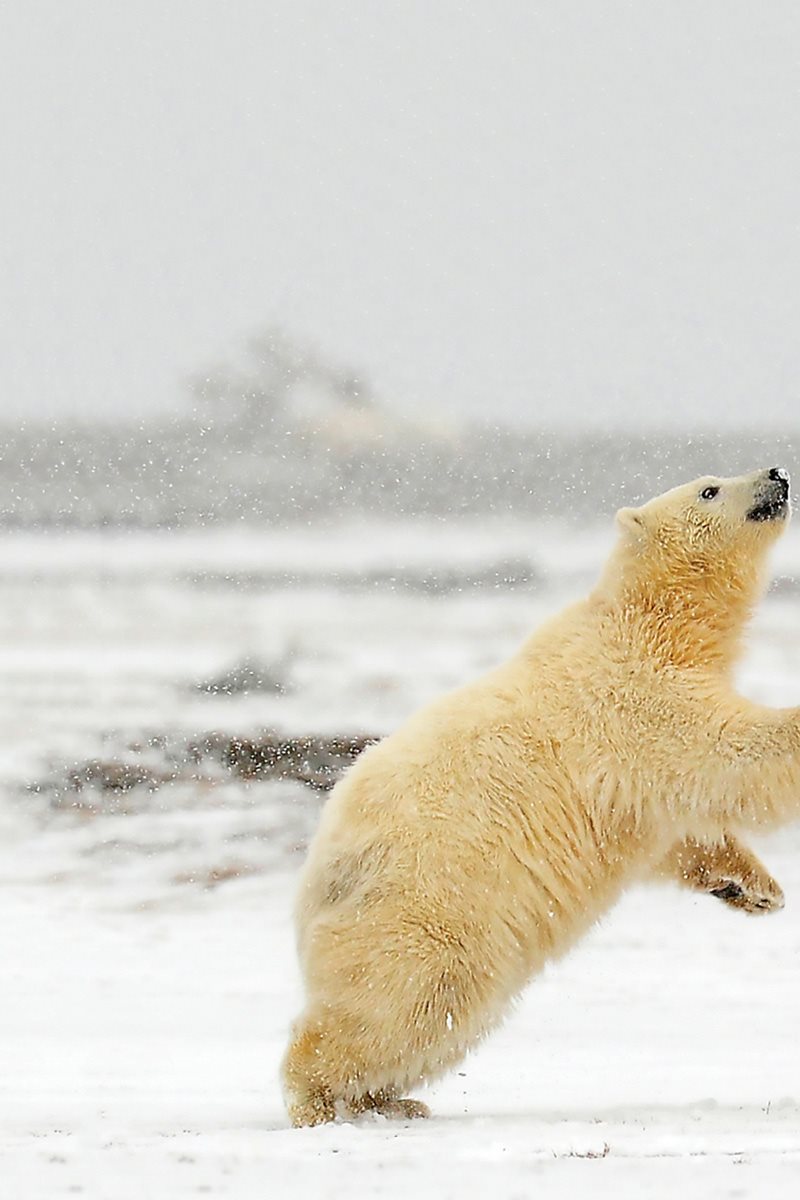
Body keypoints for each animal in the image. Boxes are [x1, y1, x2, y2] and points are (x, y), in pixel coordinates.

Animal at [284, 465, 791, 1123]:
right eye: (708, 489)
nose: (776, 474)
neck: (648, 620)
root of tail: (319, 878)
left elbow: (676, 832)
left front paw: (755, 889)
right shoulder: (634, 698)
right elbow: (724, 754)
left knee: (442, 1022)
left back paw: (390, 1100)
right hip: (433, 901)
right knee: (408, 997)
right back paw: (319, 1100)